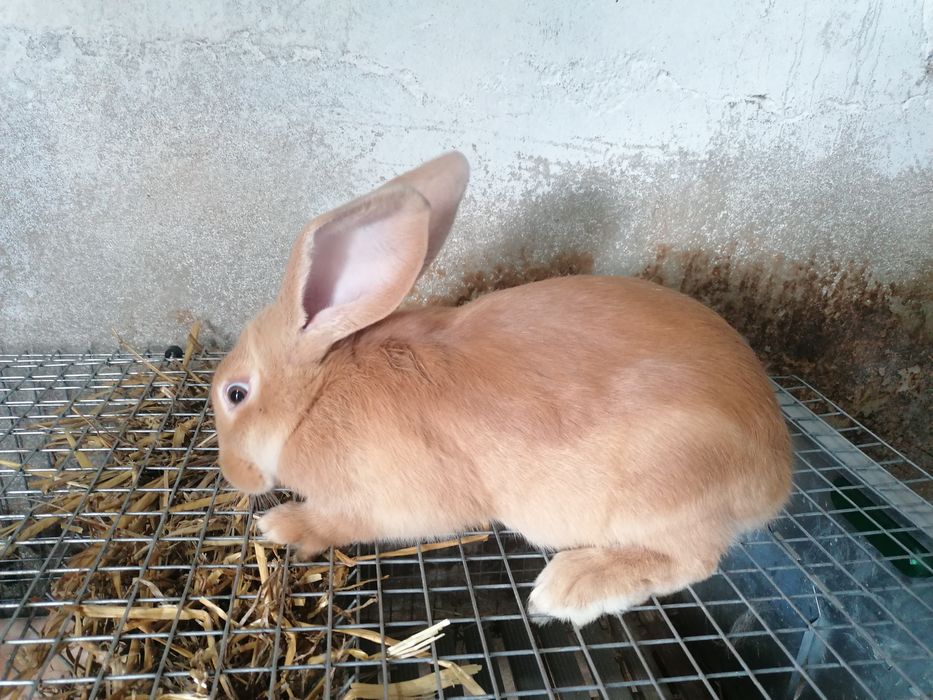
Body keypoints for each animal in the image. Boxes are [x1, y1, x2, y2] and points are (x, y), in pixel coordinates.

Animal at [211, 151, 792, 626]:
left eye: (236, 394)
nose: (233, 474)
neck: (314, 398)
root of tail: (775, 471)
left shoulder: (381, 503)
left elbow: (338, 521)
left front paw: (280, 525)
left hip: (662, 492)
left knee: (692, 560)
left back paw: (568, 587)